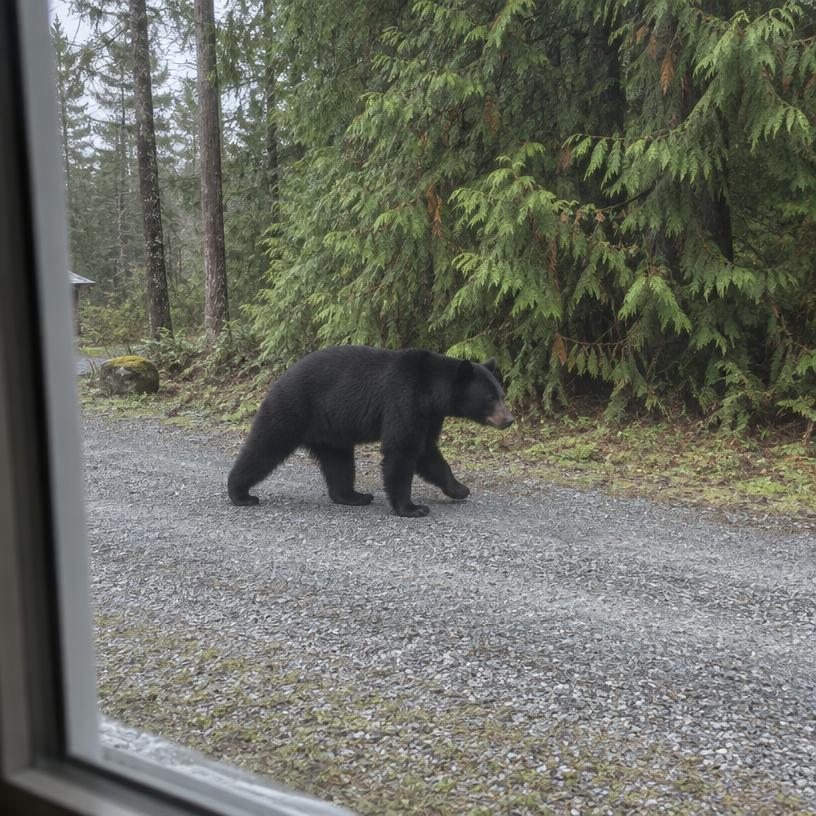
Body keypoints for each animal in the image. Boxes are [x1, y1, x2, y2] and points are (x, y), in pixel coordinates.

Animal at [227, 345, 514, 517]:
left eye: (502, 394)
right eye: (490, 398)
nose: (509, 419)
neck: (430, 393)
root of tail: (280, 378)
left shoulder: (430, 417)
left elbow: (428, 453)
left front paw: (459, 488)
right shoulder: (403, 400)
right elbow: (401, 450)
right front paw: (412, 508)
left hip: (331, 431)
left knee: (339, 464)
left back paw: (354, 496)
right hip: (292, 409)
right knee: (264, 447)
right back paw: (240, 493)